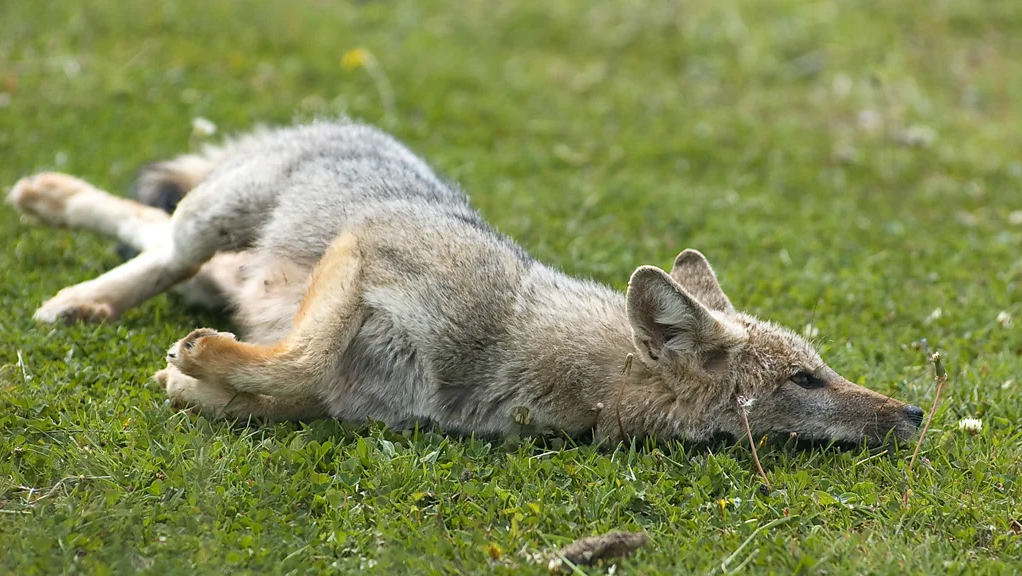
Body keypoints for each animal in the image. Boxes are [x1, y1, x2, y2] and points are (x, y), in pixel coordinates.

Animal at [1, 119, 927, 447]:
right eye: (806, 379)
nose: (918, 413)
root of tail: (353, 124)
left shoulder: (355, 398)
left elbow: (287, 386)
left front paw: (198, 383)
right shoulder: (369, 248)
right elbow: (301, 360)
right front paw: (200, 364)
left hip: (223, 266)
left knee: (144, 226)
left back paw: (57, 213)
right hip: (216, 224)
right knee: (162, 246)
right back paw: (79, 292)